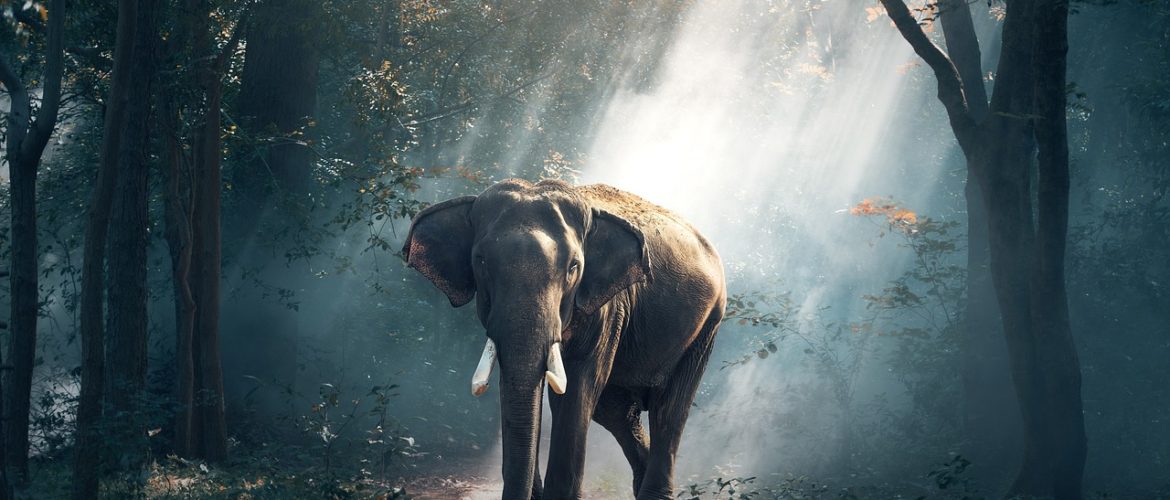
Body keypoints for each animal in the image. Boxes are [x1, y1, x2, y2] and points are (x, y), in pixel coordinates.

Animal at [402, 179, 726, 500]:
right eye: (480, 261)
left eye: (573, 267)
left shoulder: (608, 307)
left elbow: (578, 387)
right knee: (617, 412)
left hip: (707, 327)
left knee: (668, 410)